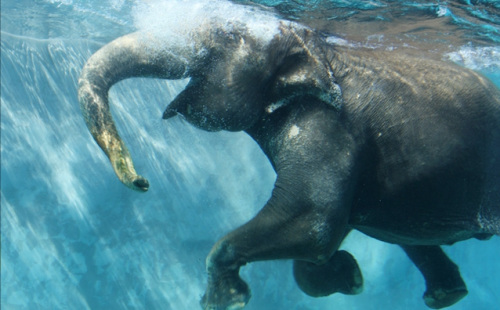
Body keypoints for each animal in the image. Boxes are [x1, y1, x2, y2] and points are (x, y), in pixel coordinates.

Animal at [78, 15, 500, 310]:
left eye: (226, 37)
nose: (142, 182)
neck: (321, 51)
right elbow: (327, 232)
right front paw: (349, 276)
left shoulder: (330, 124)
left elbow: (313, 219)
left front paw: (226, 300)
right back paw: (444, 295)